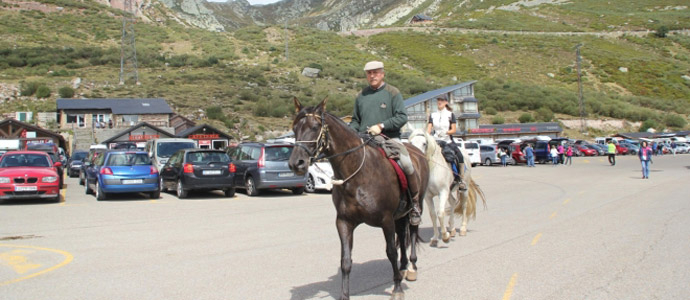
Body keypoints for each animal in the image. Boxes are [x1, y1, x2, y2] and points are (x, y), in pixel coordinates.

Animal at [288, 98, 428, 300]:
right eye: (294, 128)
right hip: (400, 215)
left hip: (416, 206)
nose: (296, 163)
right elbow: (345, 261)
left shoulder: (386, 220)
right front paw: (344, 295)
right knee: (402, 235)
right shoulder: (344, 222)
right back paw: (402, 268)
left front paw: (397, 289)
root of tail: (418, 152)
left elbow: (391, 252)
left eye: (315, 127)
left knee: (413, 231)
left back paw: (412, 268)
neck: (357, 175)